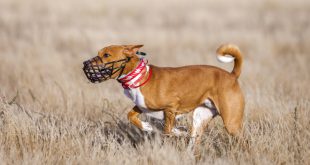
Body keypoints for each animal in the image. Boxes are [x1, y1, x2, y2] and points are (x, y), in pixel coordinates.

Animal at [82, 44, 245, 155]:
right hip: (200, 117)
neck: (139, 77)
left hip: (231, 123)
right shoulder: (141, 106)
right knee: (194, 140)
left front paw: (178, 132)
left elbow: (167, 130)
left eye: (106, 55)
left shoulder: (171, 107)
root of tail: (232, 76)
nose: (85, 63)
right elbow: (131, 116)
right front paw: (147, 126)